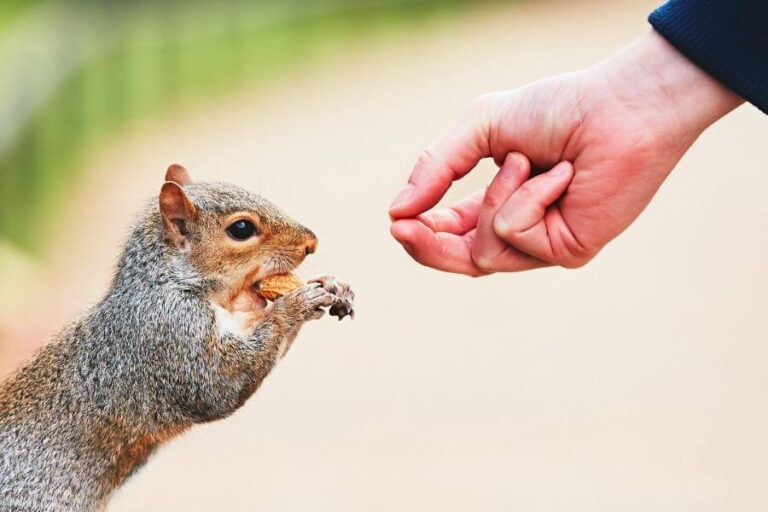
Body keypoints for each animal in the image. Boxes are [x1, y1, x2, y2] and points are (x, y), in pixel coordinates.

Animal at [0, 165, 355, 511]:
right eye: (241, 229)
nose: (311, 243)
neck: (166, 282)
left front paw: (331, 285)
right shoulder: (172, 333)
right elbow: (220, 382)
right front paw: (296, 303)